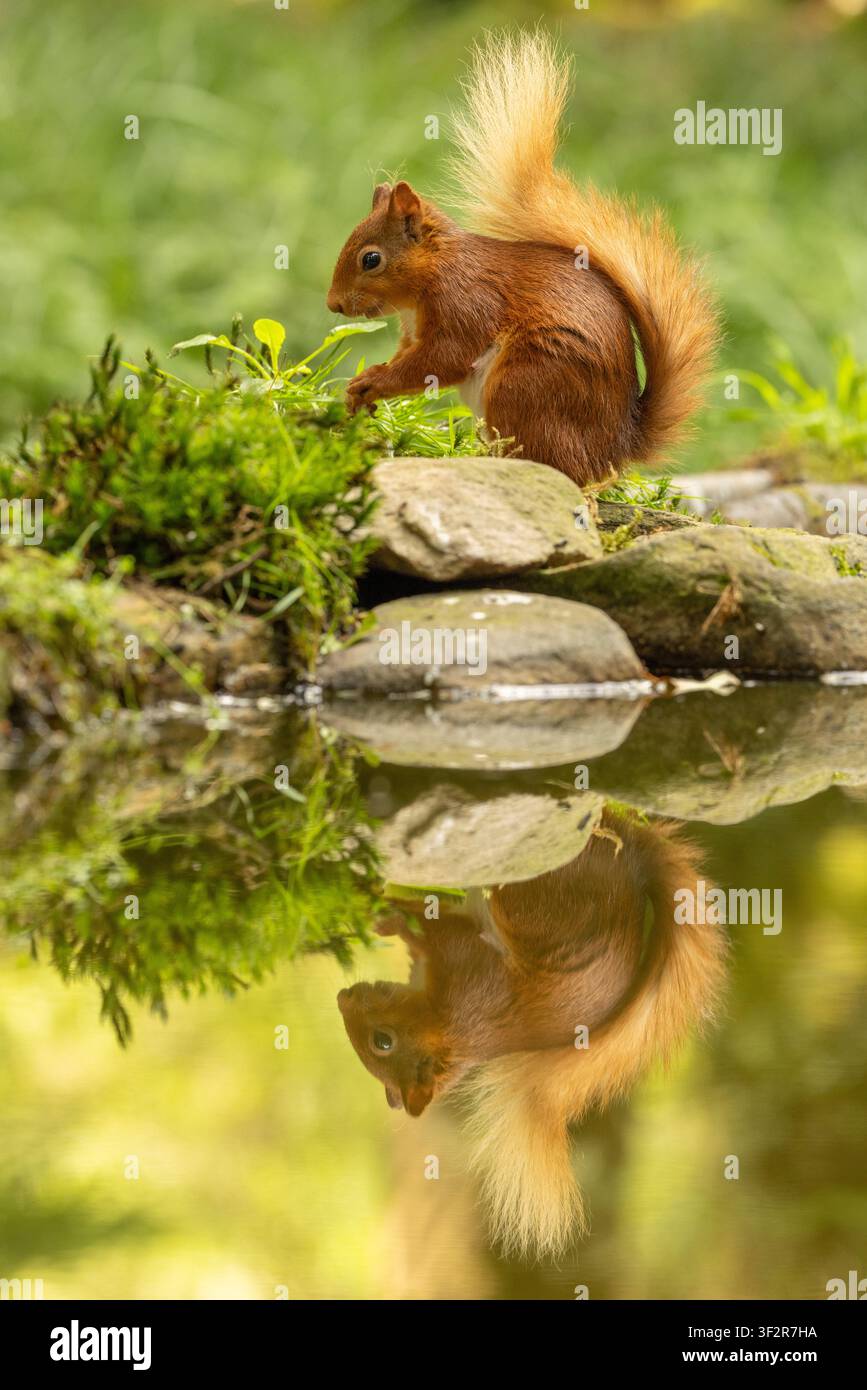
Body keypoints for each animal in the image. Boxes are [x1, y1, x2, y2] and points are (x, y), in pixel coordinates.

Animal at [326, 30, 718, 485]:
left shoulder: (467, 303)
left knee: (557, 467)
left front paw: (375, 381)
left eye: (371, 259)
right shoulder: (414, 330)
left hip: (527, 383)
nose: (333, 304)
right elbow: (412, 356)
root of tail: (614, 450)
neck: (433, 275)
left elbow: (442, 360)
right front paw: (359, 387)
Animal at [337, 809, 727, 1259]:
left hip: (537, 898)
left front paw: (380, 907)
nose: (342, 998)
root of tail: (633, 865)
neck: (450, 1029)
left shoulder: (468, 972)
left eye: (382, 1041)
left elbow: (429, 922)